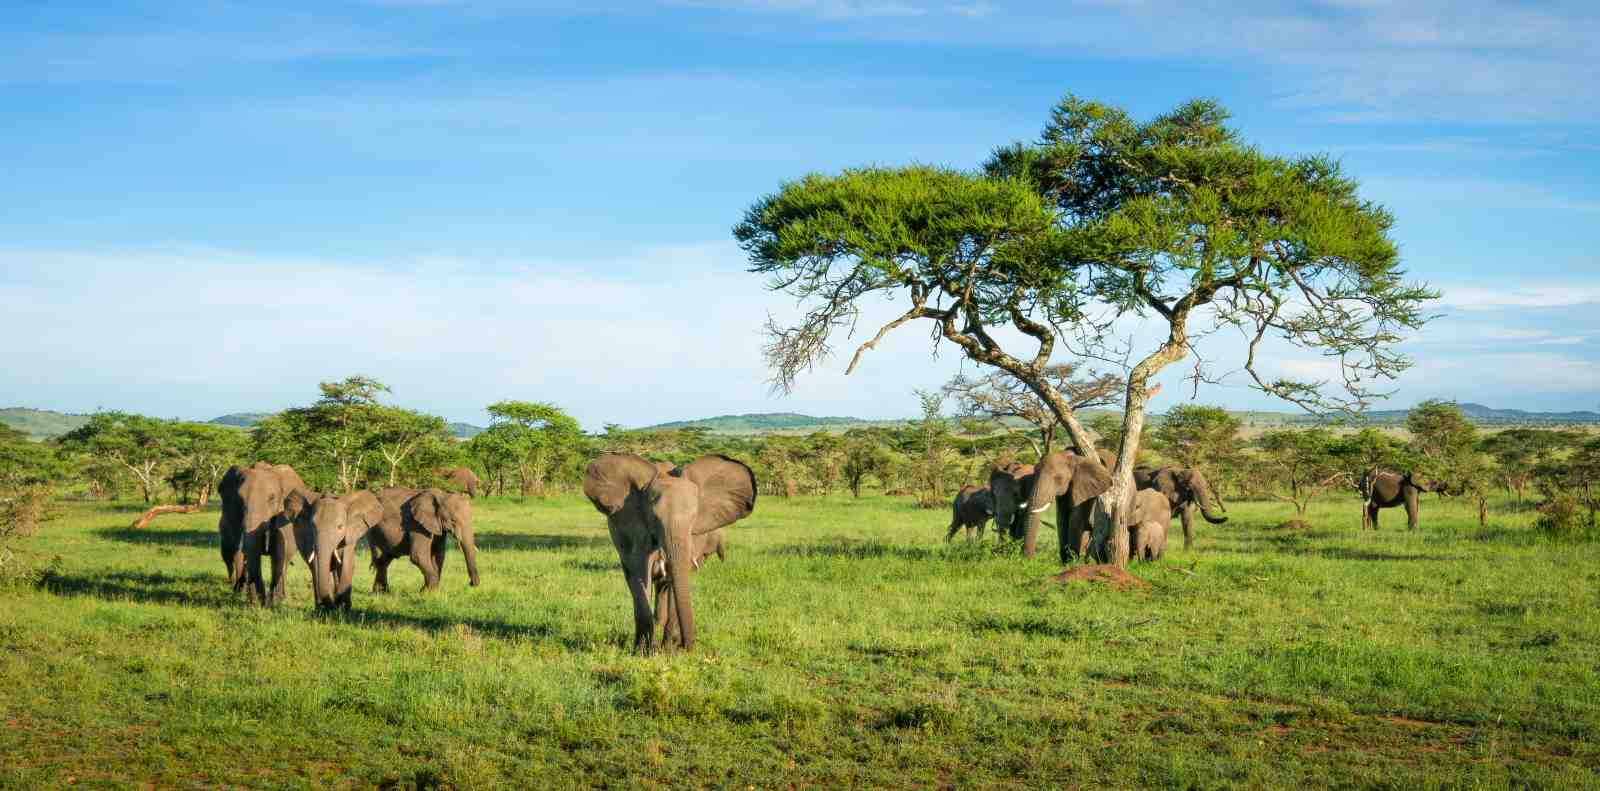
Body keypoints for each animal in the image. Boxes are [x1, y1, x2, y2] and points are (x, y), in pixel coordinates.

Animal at [217, 462, 307, 605]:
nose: (260, 602)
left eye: (272, 498)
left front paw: (275, 603)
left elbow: (279, 553)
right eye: (240, 499)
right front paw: (256, 602)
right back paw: (239, 592)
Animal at [583, 452, 756, 654]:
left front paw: (668, 650)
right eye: (654, 518)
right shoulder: (636, 530)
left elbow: (675, 580)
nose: (686, 647)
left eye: (695, 519)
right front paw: (643, 652)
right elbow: (640, 577)